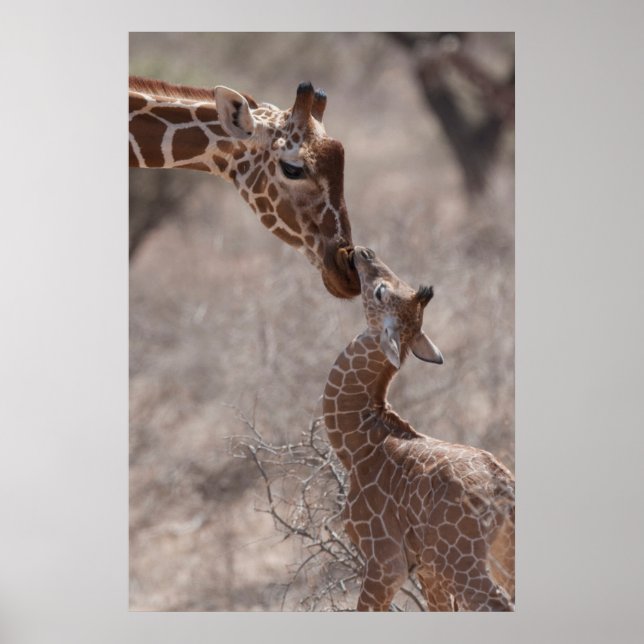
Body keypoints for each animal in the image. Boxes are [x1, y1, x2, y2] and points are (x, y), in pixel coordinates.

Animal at [322, 246, 515, 611]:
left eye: (380, 291)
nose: (363, 252)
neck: (358, 442)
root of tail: (505, 490)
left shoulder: (385, 562)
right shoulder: (426, 570)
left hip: (461, 561)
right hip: (499, 553)